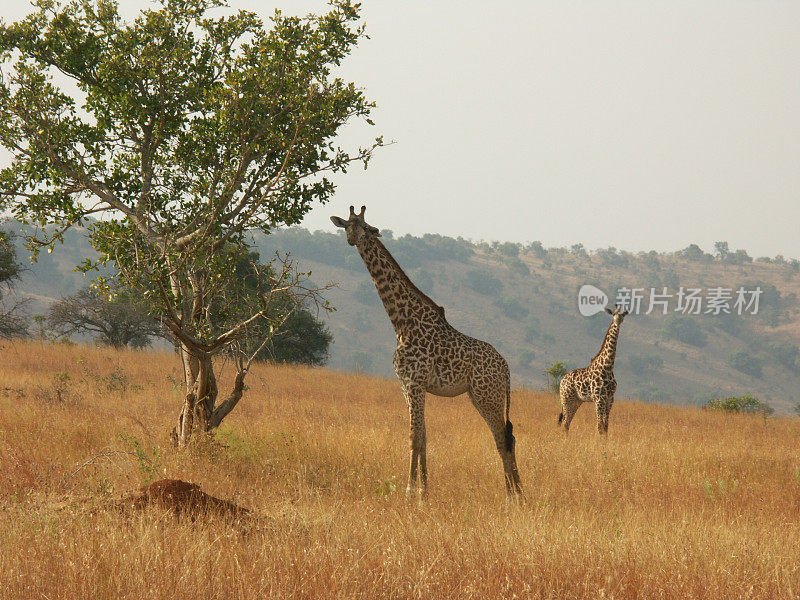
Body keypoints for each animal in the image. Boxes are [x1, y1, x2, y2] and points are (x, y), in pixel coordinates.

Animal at [328, 206, 520, 496]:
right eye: (347, 225)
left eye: (366, 227)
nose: (352, 239)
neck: (402, 323)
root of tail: (506, 369)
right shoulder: (405, 385)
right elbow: (424, 436)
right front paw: (424, 491)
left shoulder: (415, 383)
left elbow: (414, 436)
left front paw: (409, 490)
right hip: (479, 396)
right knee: (508, 436)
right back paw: (518, 491)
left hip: (489, 395)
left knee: (501, 437)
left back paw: (511, 495)